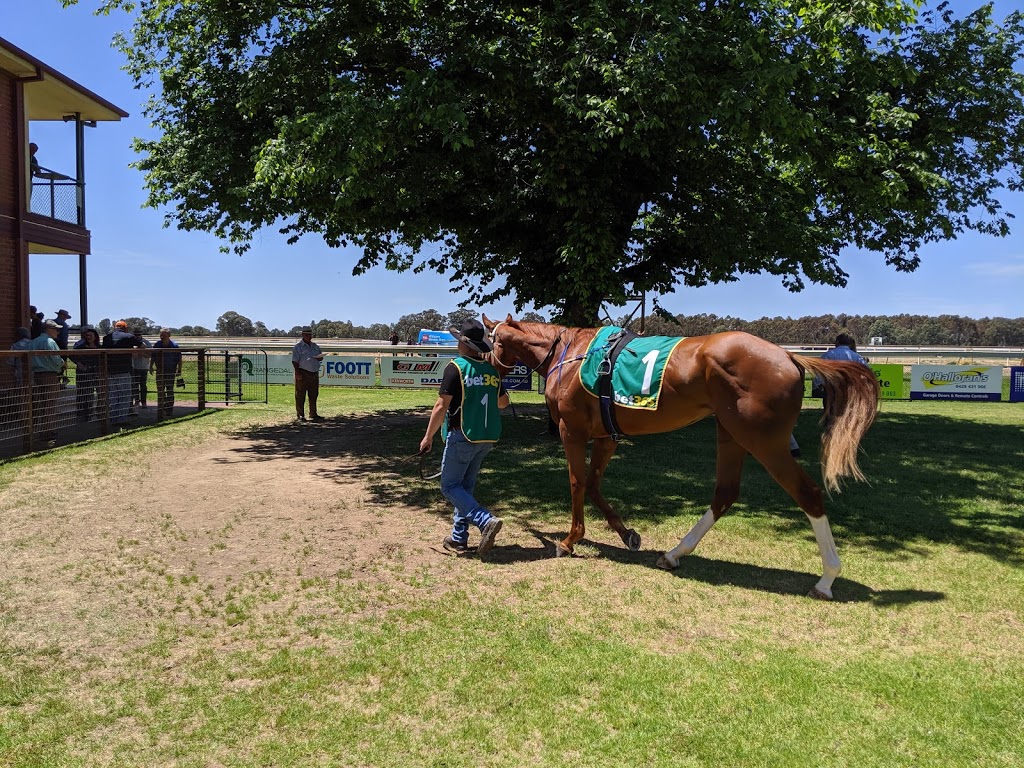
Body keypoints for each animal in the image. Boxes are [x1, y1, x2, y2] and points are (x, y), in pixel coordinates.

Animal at [481, 313, 880, 602]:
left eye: (491, 339)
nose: (487, 367)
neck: (569, 354)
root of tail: (788, 355)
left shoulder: (573, 431)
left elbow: (578, 482)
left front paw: (569, 540)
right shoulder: (607, 436)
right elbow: (594, 483)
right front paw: (627, 533)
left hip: (764, 440)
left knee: (807, 493)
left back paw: (826, 579)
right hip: (731, 433)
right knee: (725, 494)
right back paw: (674, 554)